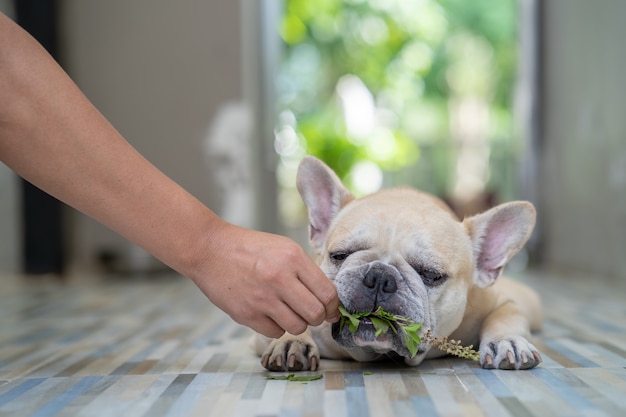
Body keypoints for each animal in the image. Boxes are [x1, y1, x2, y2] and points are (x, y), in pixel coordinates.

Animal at [254, 157, 540, 370]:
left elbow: (505, 314)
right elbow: (288, 321)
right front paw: (291, 341)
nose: (380, 276)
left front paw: (507, 340)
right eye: (340, 255)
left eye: (431, 274)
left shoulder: (502, 301)